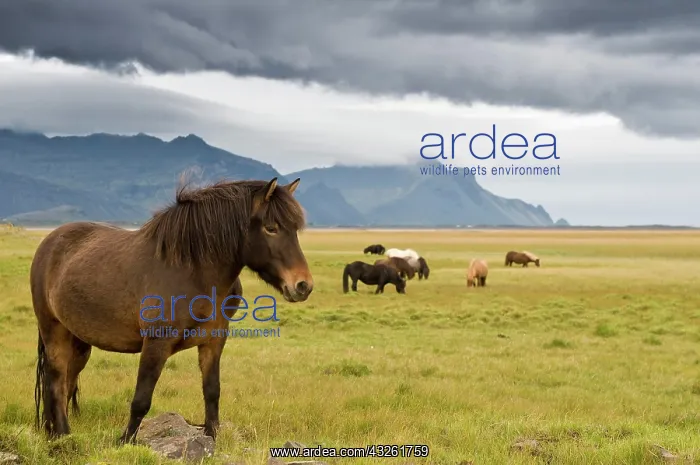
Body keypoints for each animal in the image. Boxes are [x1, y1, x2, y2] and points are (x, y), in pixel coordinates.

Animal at [30, 176, 313, 445]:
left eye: (295, 229)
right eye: (271, 228)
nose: (303, 285)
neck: (193, 273)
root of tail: (50, 242)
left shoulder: (214, 340)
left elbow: (212, 391)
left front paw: (212, 437)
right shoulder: (157, 342)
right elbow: (141, 399)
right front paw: (124, 441)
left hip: (79, 341)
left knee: (66, 382)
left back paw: (54, 434)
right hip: (53, 330)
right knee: (56, 381)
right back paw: (64, 436)